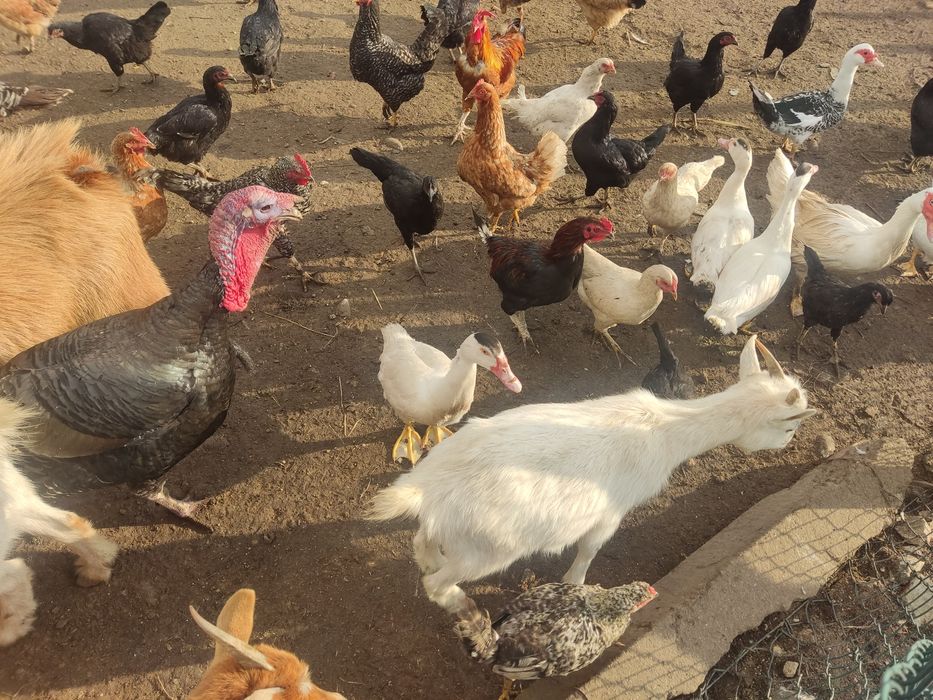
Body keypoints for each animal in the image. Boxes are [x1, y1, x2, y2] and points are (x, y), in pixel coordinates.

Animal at [368, 336, 816, 624]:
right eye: (791, 426)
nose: (788, 445)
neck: (665, 430)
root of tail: (427, 489)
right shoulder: (611, 512)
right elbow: (588, 552)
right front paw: (577, 585)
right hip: (486, 550)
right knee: (437, 584)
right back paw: (466, 609)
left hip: (450, 526)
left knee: (421, 543)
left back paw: (430, 557)